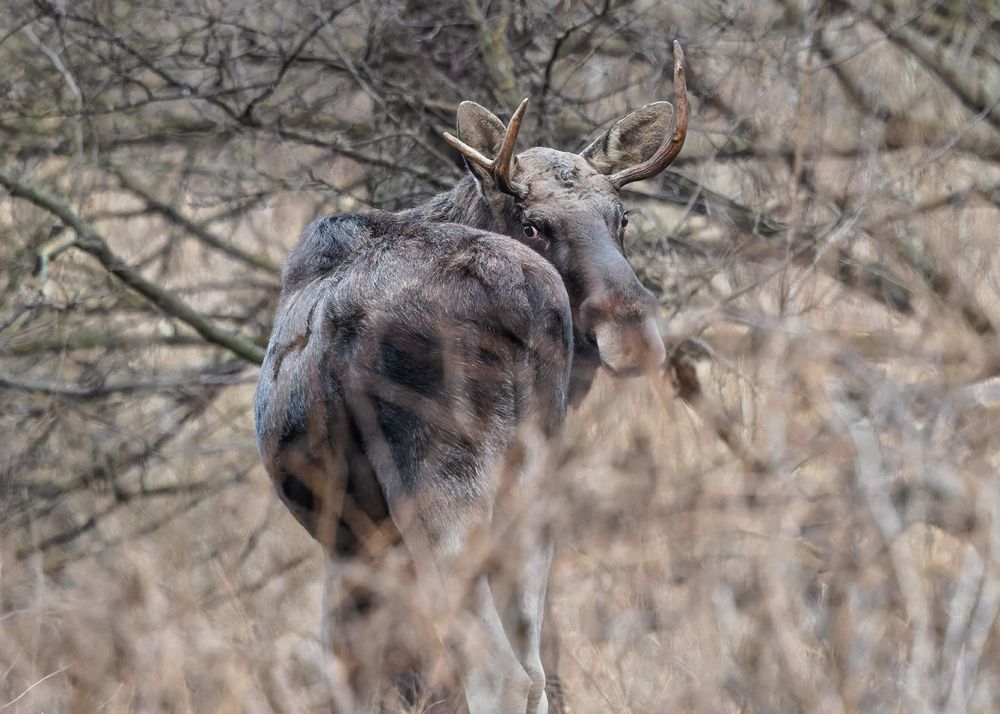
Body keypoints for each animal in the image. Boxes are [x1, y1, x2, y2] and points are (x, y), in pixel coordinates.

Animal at [254, 42, 688, 714]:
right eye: (533, 223)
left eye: (621, 217)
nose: (635, 331)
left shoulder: (351, 548)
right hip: (527, 488)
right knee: (534, 668)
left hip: (441, 492)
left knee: (496, 673)